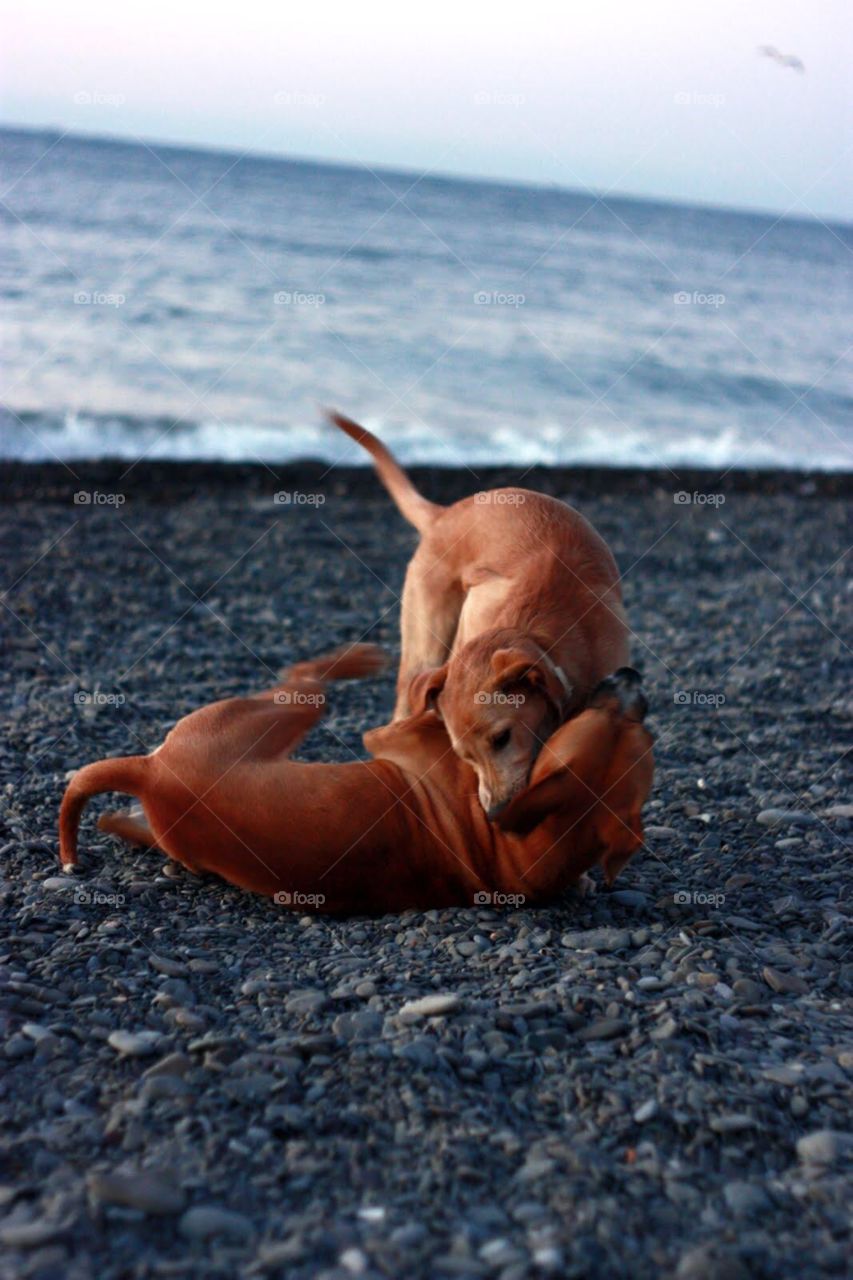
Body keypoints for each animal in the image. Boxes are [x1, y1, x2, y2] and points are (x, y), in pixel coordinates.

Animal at [59, 640, 653, 911]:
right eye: (636, 732)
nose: (631, 676)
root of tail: (154, 772)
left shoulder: (388, 737)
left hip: (276, 714)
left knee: (303, 677)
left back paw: (354, 660)